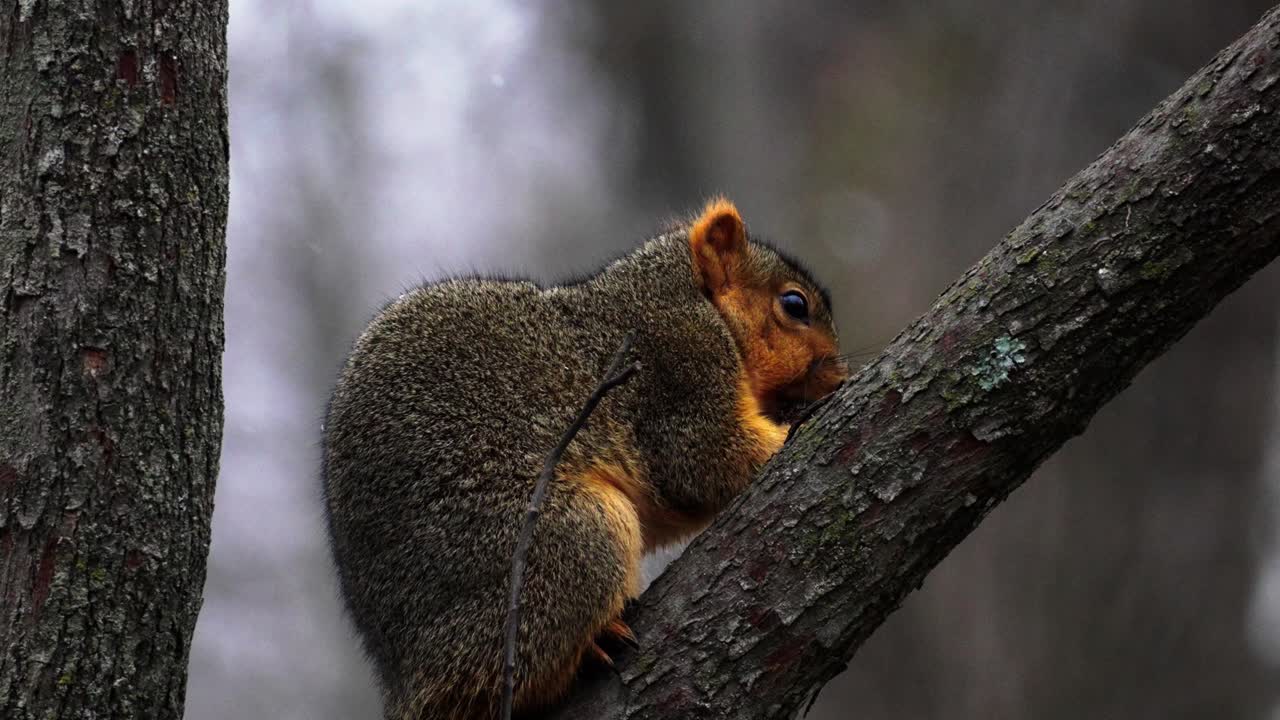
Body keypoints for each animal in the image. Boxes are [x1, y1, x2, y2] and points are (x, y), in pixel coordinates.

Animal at [322, 198, 847, 719]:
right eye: (794, 304)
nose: (839, 376)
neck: (678, 289)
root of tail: (410, 684)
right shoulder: (677, 363)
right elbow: (706, 460)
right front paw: (794, 427)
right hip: (572, 541)